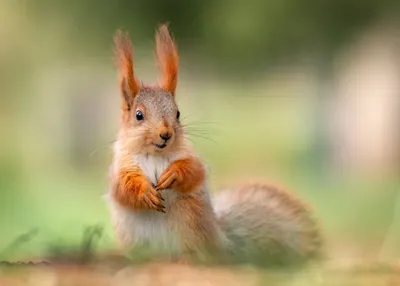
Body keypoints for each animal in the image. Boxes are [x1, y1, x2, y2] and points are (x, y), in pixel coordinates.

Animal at [104, 23, 324, 268]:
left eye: (177, 113)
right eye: (138, 115)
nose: (166, 134)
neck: (156, 154)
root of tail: (220, 239)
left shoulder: (191, 157)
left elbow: (195, 171)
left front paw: (174, 174)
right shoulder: (121, 166)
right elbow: (122, 187)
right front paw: (144, 192)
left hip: (189, 219)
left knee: (199, 254)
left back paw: (187, 259)